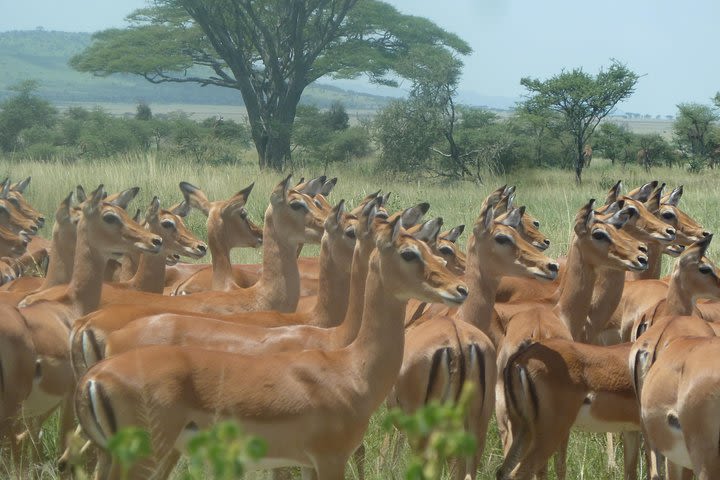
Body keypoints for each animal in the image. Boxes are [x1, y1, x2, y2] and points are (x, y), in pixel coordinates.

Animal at [76, 215, 470, 480]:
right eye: (409, 253)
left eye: (433, 251)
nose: (460, 289)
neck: (350, 365)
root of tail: (93, 378)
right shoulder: (330, 459)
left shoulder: (308, 464)